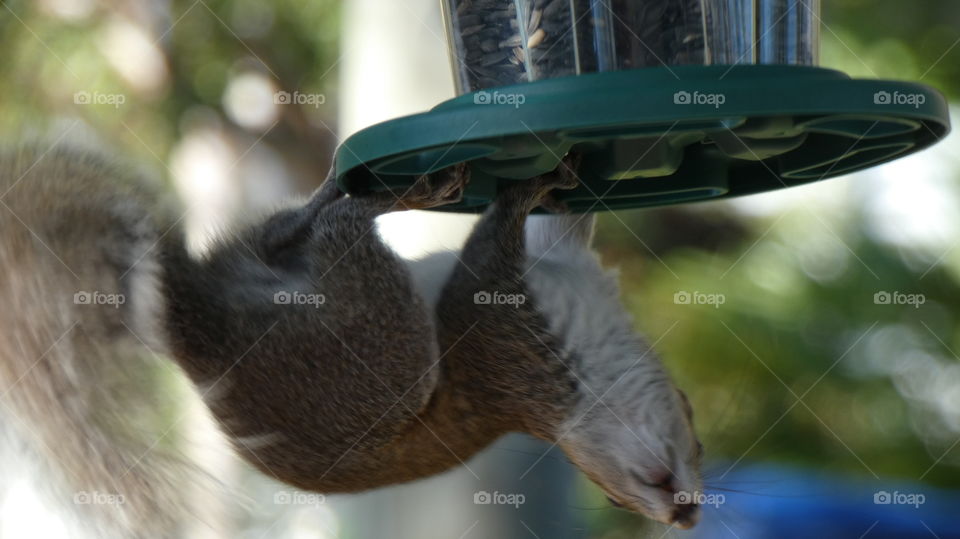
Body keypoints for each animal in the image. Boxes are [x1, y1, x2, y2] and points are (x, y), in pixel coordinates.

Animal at [0, 143, 702, 537]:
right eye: (618, 492)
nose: (686, 516)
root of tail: (196, 328)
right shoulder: (506, 337)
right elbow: (496, 248)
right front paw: (537, 181)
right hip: (385, 346)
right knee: (337, 227)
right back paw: (402, 188)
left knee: (293, 231)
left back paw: (355, 191)